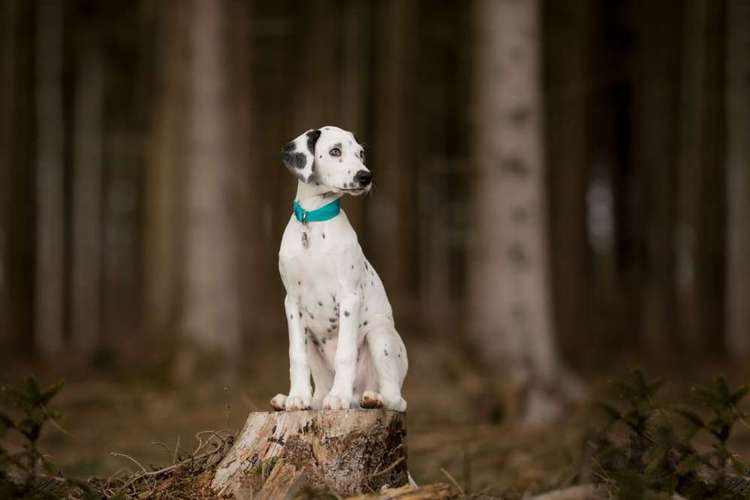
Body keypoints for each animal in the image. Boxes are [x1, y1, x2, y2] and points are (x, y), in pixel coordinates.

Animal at [272, 127, 412, 412]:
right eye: (335, 151)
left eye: (361, 154)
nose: (366, 176)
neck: (313, 222)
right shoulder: (292, 303)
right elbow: (296, 356)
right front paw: (296, 396)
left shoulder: (349, 297)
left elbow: (345, 353)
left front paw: (338, 397)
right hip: (312, 340)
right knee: (319, 390)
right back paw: (303, 400)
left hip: (380, 336)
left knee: (395, 399)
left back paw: (371, 398)